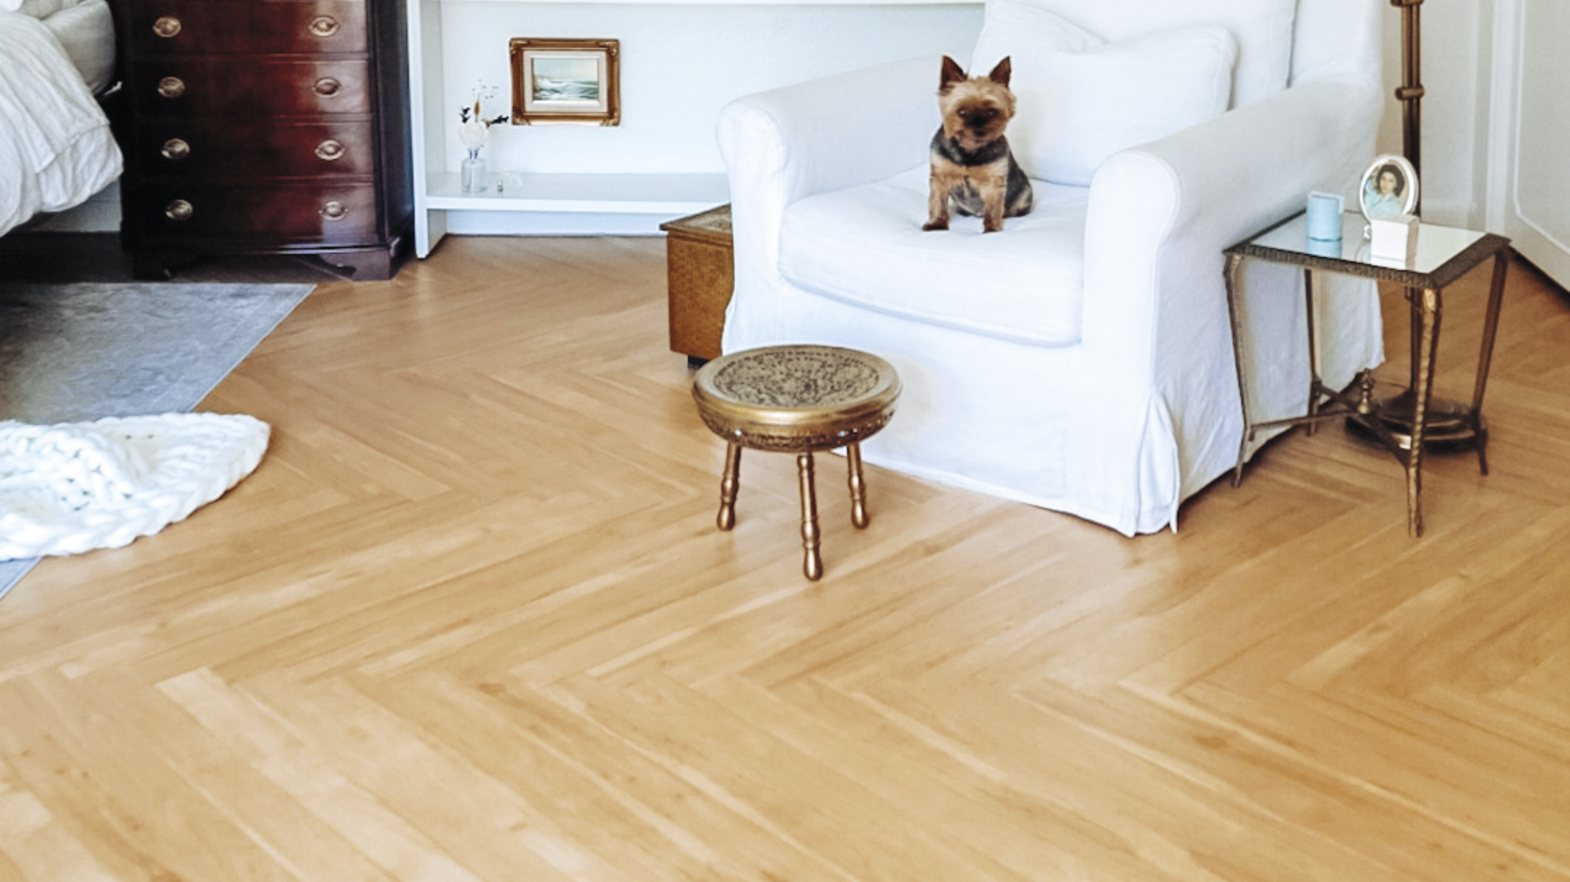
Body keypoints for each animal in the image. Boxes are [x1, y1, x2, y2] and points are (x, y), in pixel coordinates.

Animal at [916, 53, 1029, 233]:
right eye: (962, 112)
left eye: (991, 112)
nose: (979, 130)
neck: (969, 149)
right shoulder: (940, 176)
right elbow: (937, 202)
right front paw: (936, 223)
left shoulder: (994, 181)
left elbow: (993, 208)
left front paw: (992, 229)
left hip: (1023, 192)